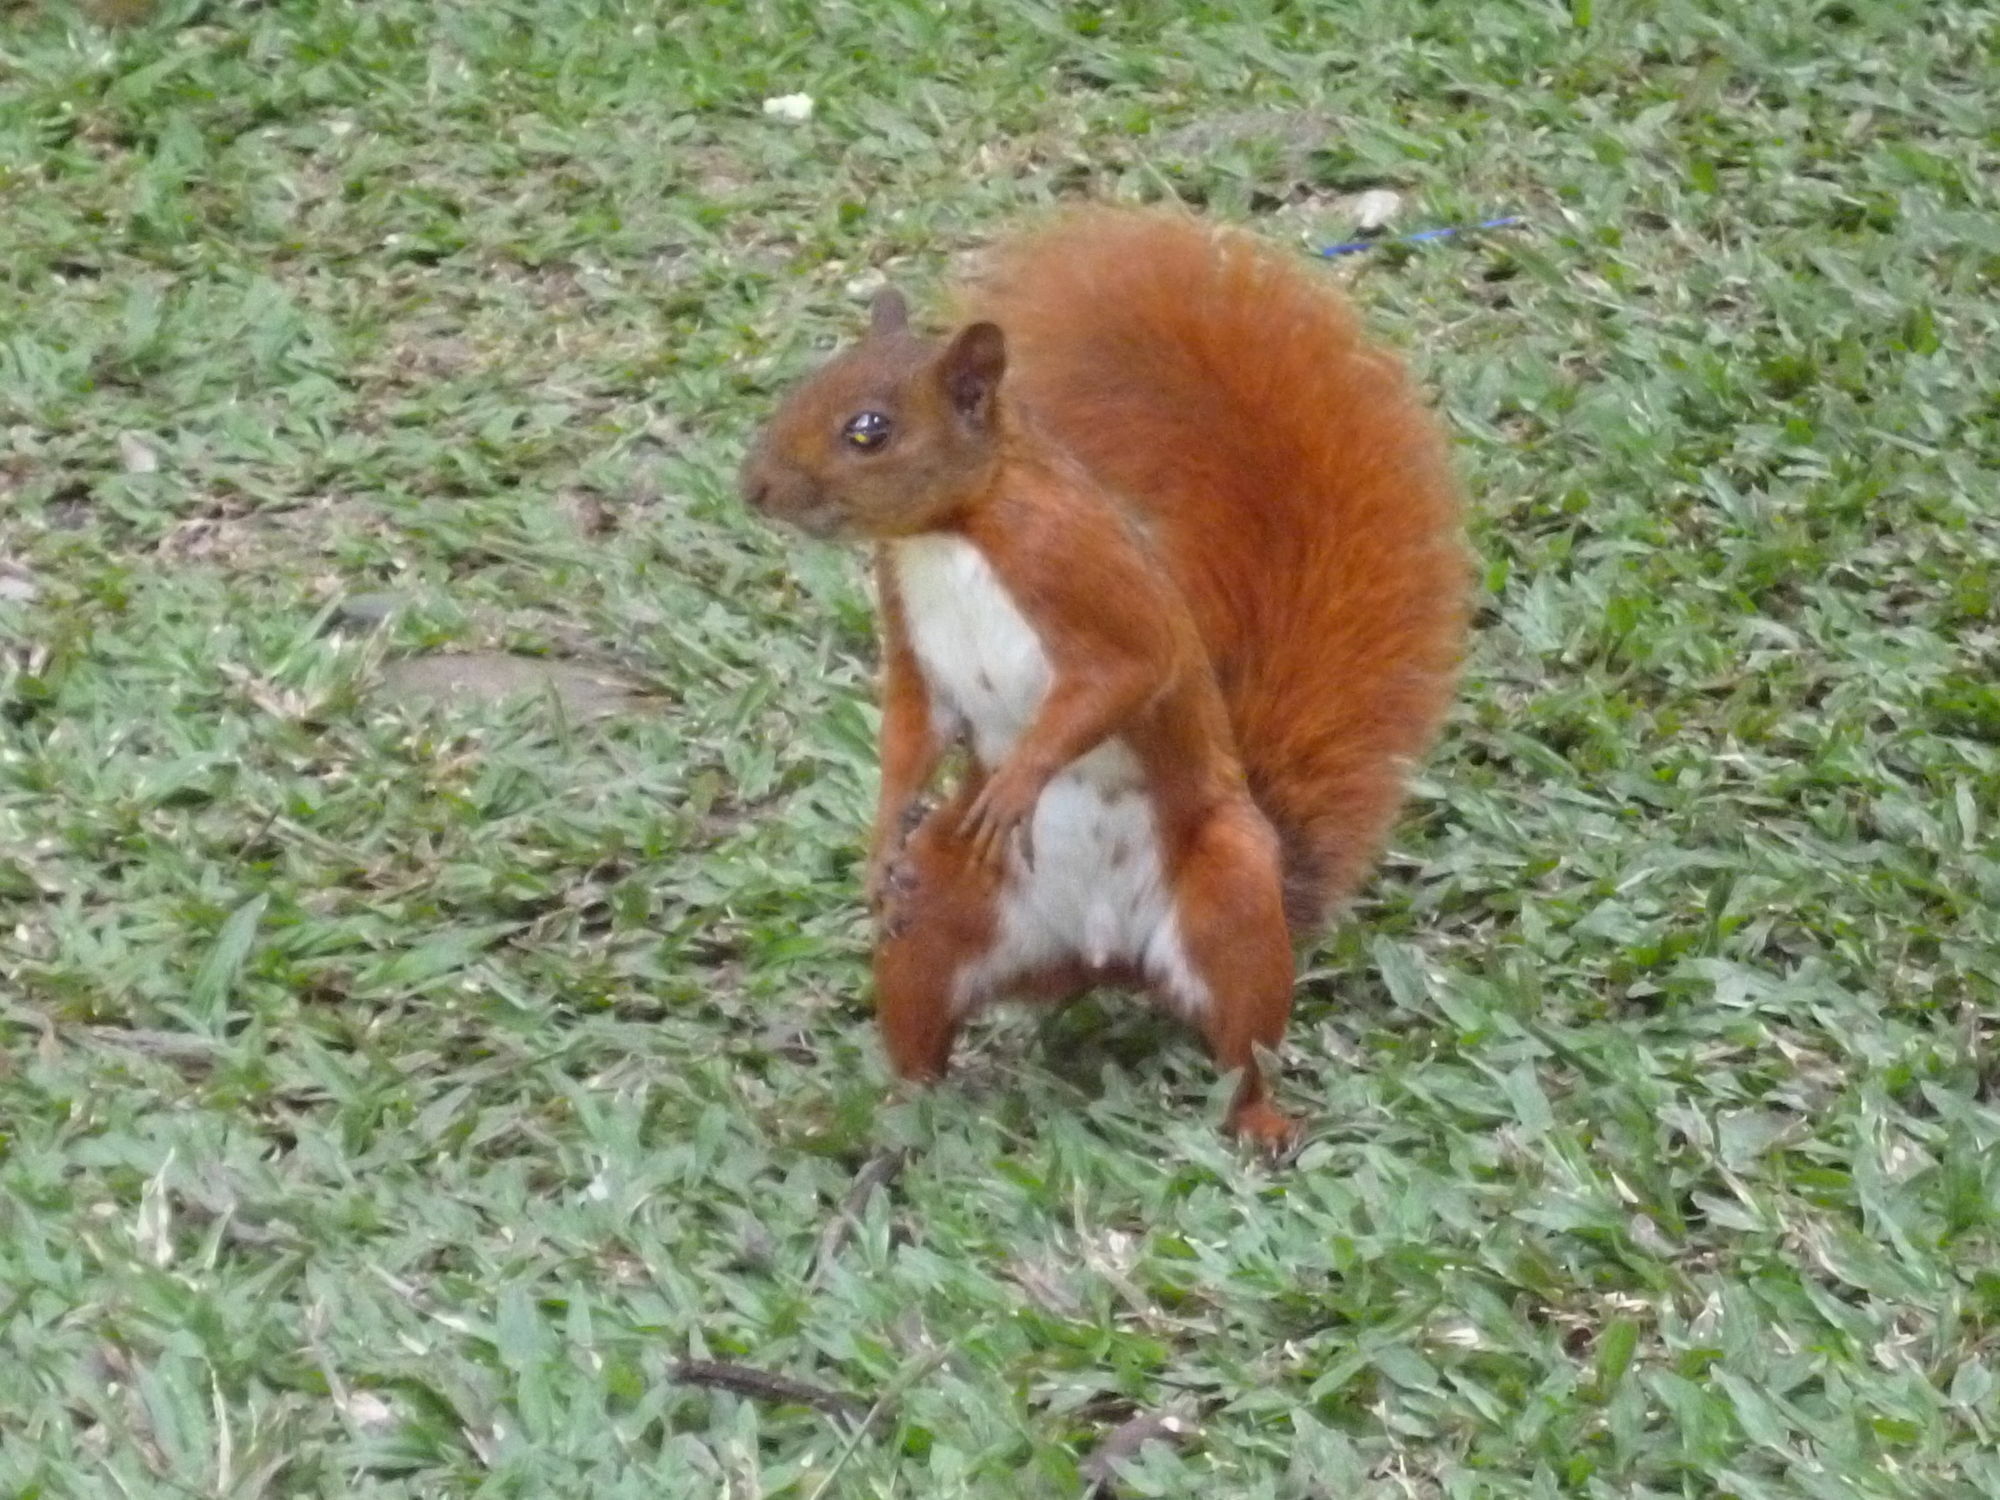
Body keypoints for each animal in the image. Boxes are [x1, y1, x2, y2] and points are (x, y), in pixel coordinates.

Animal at [744, 200, 1464, 1136]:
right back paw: (887, 1113)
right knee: (923, 1026)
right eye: (805, 385)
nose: (753, 488)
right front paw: (879, 843)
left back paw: (1260, 1123)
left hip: (1231, 893)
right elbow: (912, 727)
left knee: (1245, 1048)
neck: (954, 529)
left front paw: (1019, 781)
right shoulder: (908, 624)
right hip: (942, 911)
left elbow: (1125, 676)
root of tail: (1105, 956)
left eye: (870, 429)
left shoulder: (1081, 572)